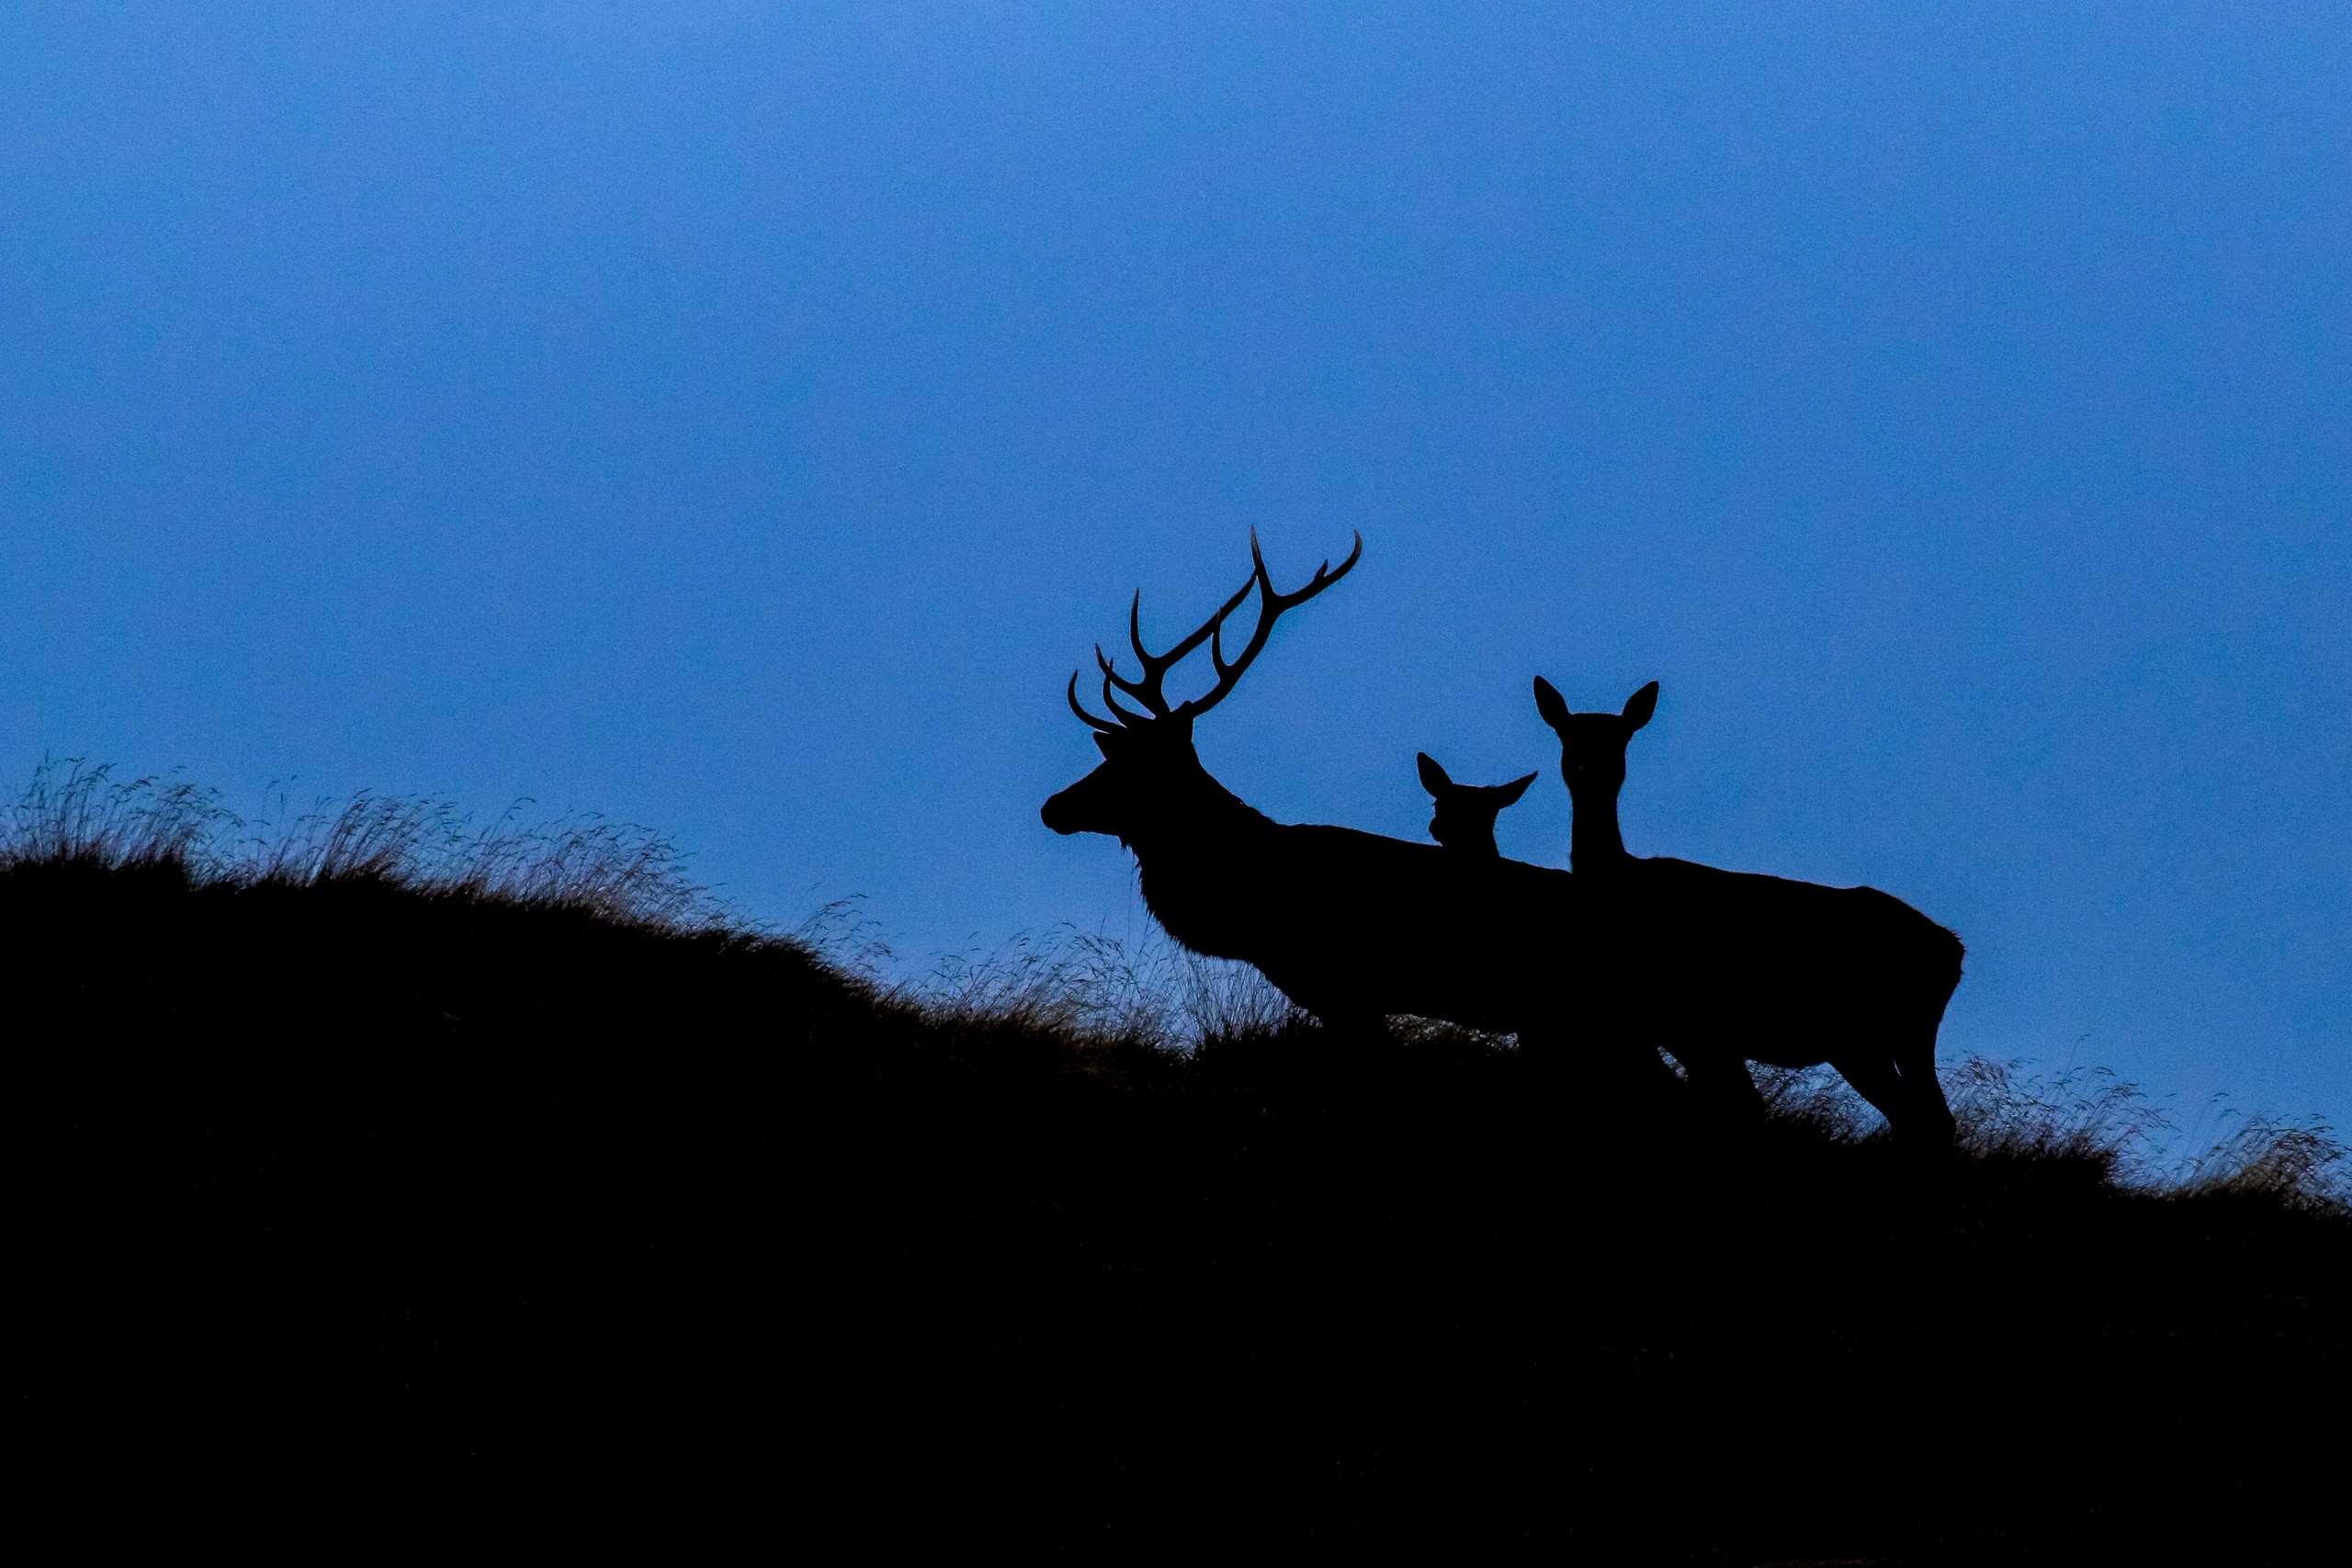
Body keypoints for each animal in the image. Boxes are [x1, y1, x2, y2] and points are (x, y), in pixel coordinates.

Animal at [1531, 676, 1963, 1142]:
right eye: (1566, 734)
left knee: (1922, 1117)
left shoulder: (1690, 1020)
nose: (1588, 769)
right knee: (1928, 1116)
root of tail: (1955, 952)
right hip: (1894, 1036)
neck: (1617, 884)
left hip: (1863, 1034)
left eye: (1622, 737)